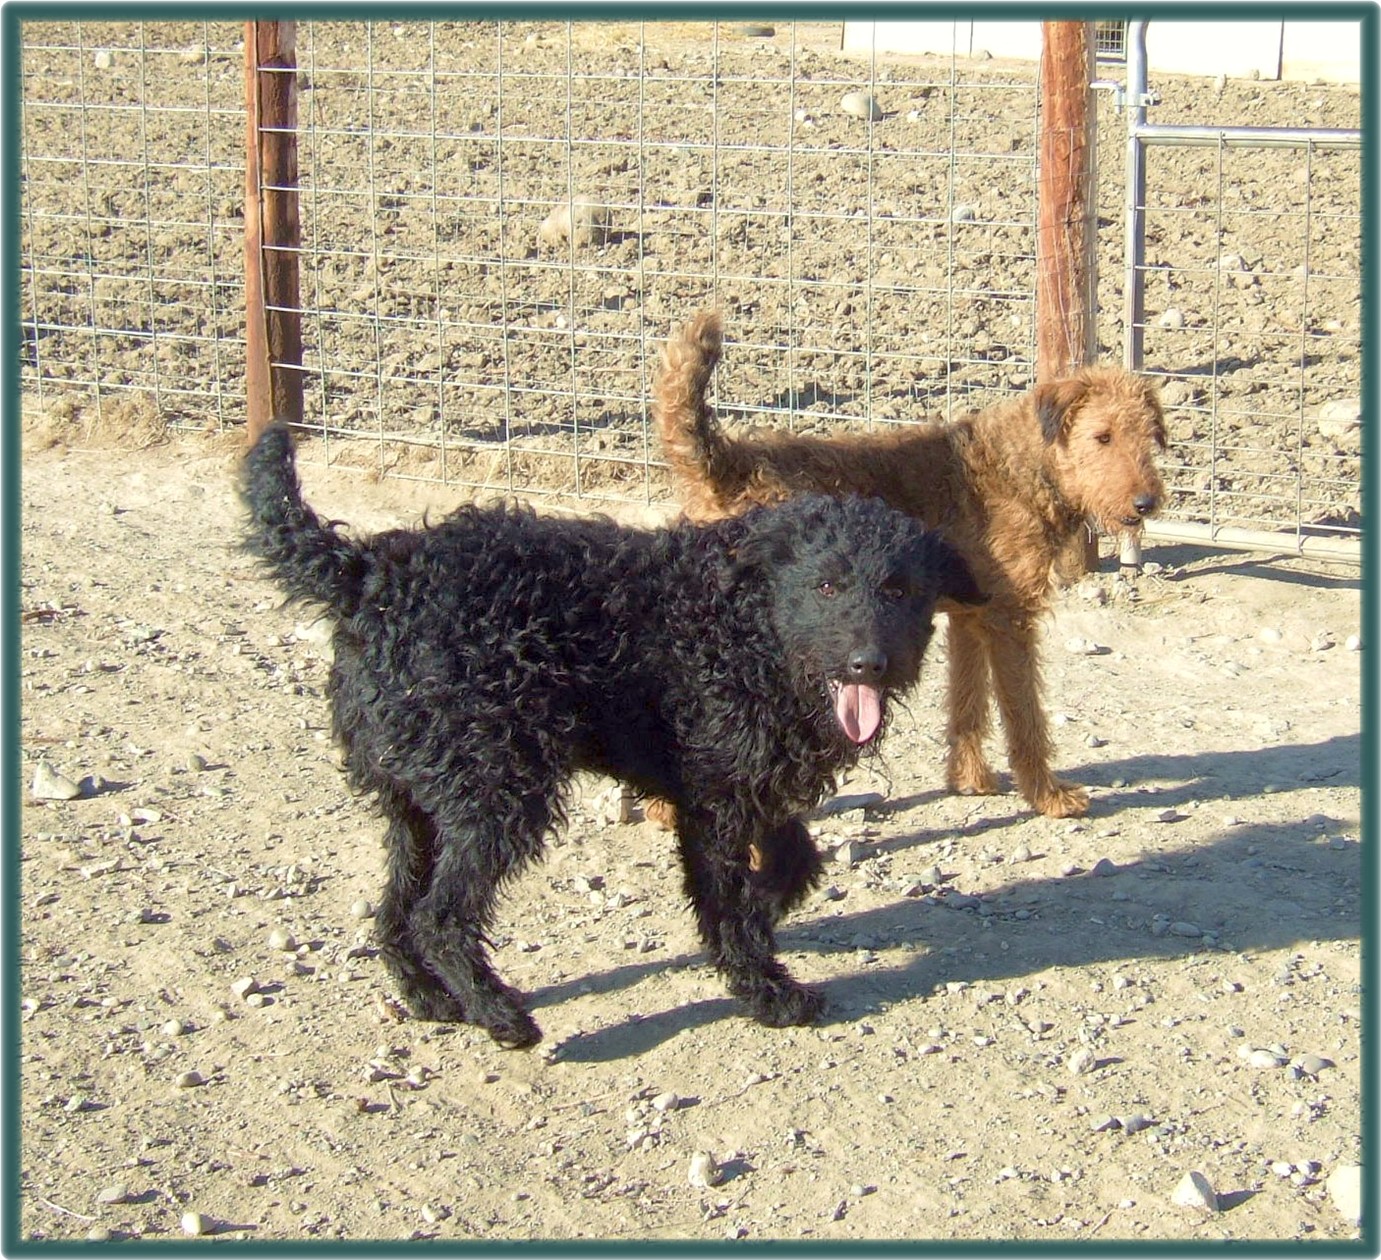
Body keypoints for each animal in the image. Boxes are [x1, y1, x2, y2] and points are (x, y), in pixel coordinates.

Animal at [245, 428, 983, 1050]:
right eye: (826, 585)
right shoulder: (714, 798)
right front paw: (766, 990)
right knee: (441, 916)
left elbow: (792, 866)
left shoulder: (752, 780)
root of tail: (369, 573)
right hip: (495, 787)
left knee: (396, 909)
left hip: (417, 793)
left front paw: (763, 913)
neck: (744, 626)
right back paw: (499, 1015)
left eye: (900, 590)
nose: (867, 664)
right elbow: (727, 898)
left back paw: (430, 997)